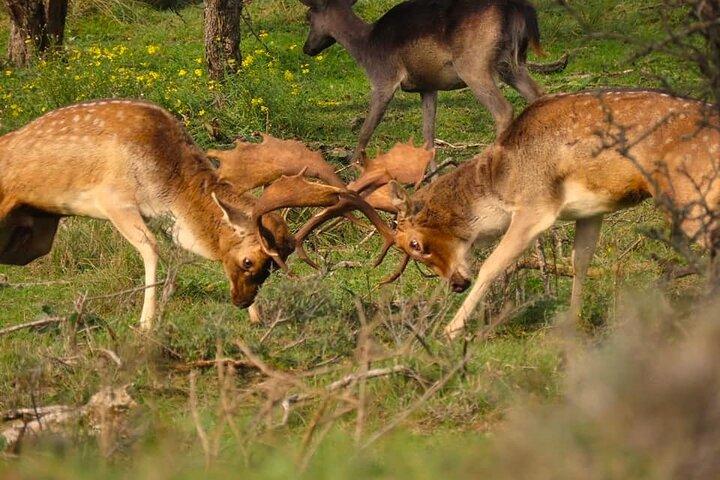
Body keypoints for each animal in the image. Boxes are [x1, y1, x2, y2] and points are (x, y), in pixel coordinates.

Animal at [0, 100, 392, 330]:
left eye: (272, 268)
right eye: (249, 261)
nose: (243, 302)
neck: (165, 183)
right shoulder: (114, 199)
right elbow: (152, 248)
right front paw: (146, 324)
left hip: (35, 232)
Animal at [299, 0, 563, 164]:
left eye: (308, 16)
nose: (307, 48)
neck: (366, 47)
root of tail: (517, 10)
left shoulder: (384, 78)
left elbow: (365, 131)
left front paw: (351, 173)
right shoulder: (428, 87)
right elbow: (428, 138)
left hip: (474, 64)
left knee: (504, 109)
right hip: (512, 64)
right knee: (540, 95)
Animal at [300, 89, 719, 339]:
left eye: (416, 243)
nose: (456, 283)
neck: (502, 179)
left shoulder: (536, 205)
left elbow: (493, 264)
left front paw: (451, 330)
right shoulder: (591, 209)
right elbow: (580, 261)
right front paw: (571, 325)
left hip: (693, 195)